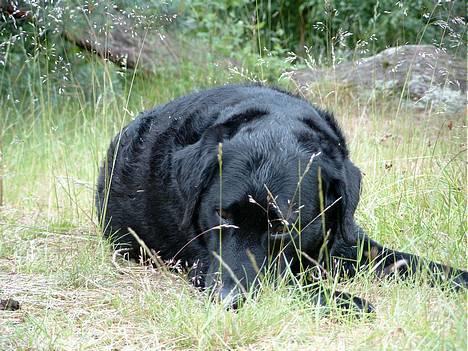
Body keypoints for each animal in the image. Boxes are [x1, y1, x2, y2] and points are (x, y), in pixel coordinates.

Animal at [96, 84, 468, 312]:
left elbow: (416, 263)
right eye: (221, 216)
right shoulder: (203, 265)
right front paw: (350, 302)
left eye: (281, 228)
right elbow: (288, 283)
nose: (227, 300)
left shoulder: (350, 242)